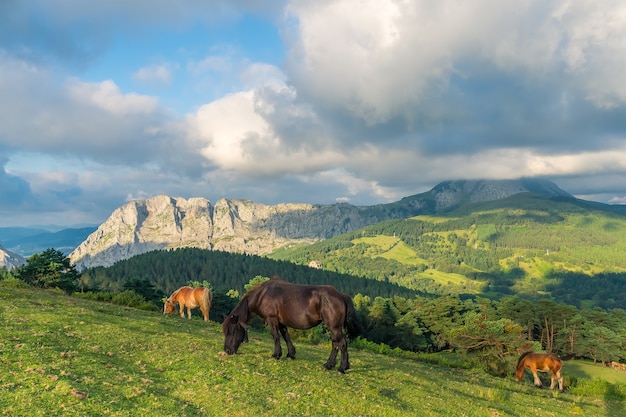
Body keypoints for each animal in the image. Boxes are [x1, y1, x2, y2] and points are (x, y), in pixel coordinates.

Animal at [223, 278, 360, 372]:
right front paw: (290, 354)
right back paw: (329, 365)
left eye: (231, 331)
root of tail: (340, 295)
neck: (263, 295)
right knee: (335, 344)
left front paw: (276, 355)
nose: (227, 351)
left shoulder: (272, 319)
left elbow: (276, 336)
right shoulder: (281, 322)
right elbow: (286, 336)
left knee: (341, 343)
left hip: (334, 327)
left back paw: (341, 368)